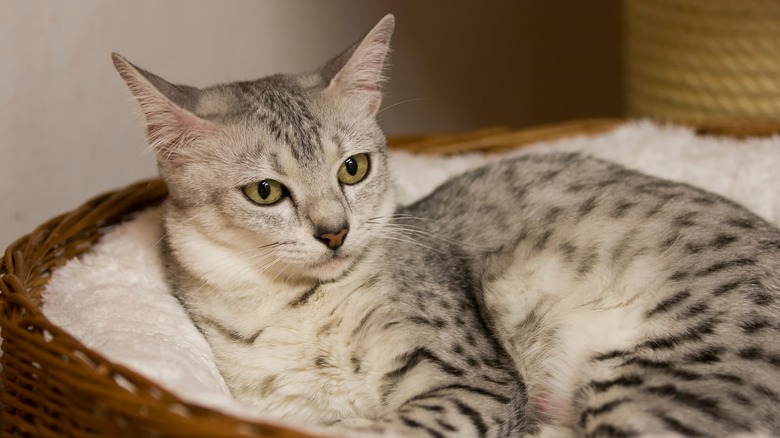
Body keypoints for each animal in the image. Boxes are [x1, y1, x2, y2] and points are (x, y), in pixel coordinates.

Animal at [114, 13, 780, 438]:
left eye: (353, 168)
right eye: (265, 191)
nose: (335, 233)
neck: (290, 307)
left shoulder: (469, 381)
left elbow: (386, 429)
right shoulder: (278, 405)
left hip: (655, 373)